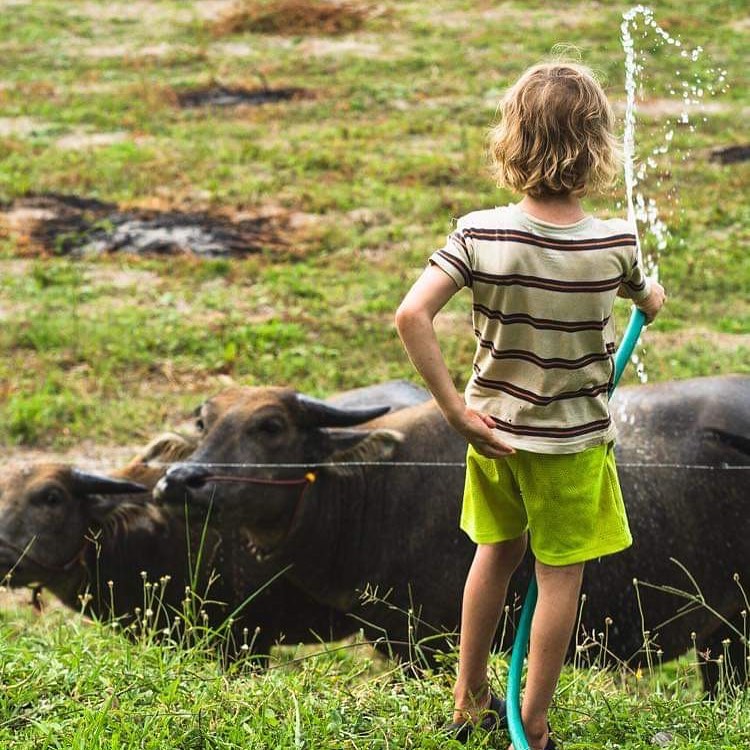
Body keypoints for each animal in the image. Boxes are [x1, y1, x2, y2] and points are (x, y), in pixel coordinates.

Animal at [155, 375, 750, 694]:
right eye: (204, 424)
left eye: (271, 426)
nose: (181, 481)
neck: (377, 492)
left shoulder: (429, 643)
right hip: (720, 641)